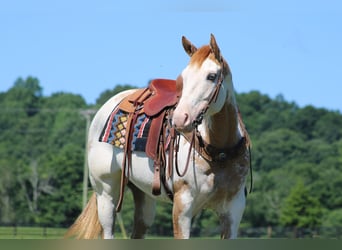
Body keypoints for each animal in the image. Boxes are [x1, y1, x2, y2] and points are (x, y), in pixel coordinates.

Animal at [65, 34, 250, 239]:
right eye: (183, 79)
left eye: (211, 76)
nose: (180, 118)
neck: (219, 152)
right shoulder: (183, 208)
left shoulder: (233, 211)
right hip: (106, 194)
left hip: (144, 198)